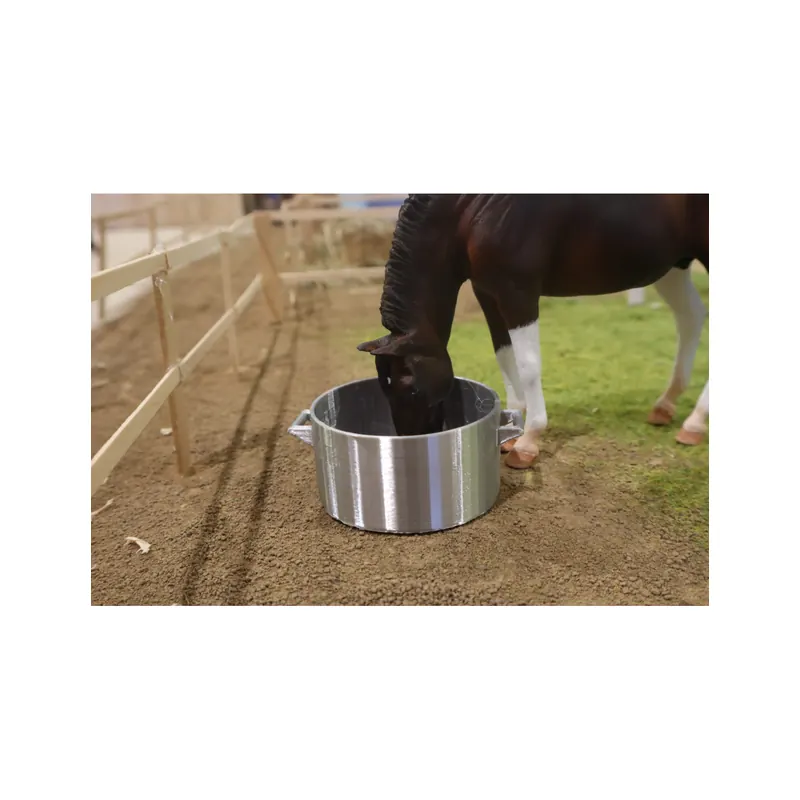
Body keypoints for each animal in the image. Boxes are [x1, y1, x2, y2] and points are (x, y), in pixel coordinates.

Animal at [357, 194, 709, 470]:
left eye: (413, 389)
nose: (410, 444)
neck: (475, 204)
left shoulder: (518, 293)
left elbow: (528, 365)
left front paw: (528, 442)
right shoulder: (488, 291)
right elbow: (504, 354)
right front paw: (513, 427)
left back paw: (694, 422)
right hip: (674, 266)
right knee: (691, 318)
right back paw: (666, 405)